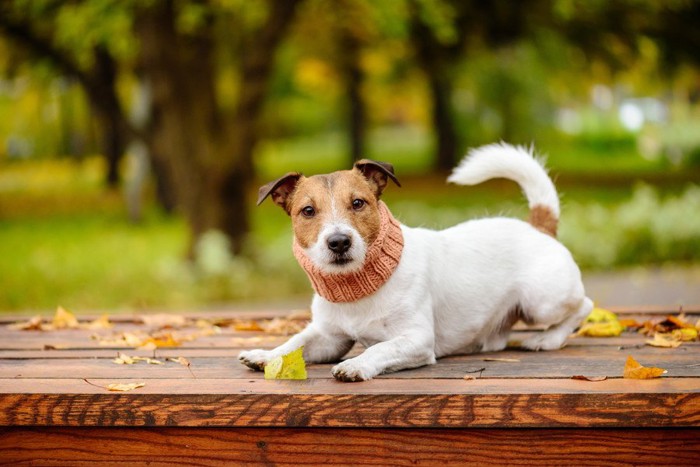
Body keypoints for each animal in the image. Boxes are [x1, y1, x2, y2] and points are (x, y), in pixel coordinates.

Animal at [239, 144, 592, 382]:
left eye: (358, 203)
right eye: (308, 211)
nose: (338, 241)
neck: (358, 286)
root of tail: (537, 225)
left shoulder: (417, 340)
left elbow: (378, 348)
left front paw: (356, 364)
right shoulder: (329, 338)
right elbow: (295, 342)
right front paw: (266, 355)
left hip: (541, 301)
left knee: (583, 306)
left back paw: (546, 339)